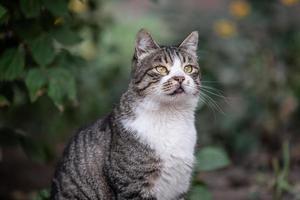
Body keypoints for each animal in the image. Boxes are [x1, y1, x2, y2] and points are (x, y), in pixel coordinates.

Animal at [51, 28, 202, 199]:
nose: (180, 78)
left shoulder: (179, 188)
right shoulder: (133, 187)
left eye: (188, 68)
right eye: (161, 69)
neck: (170, 116)